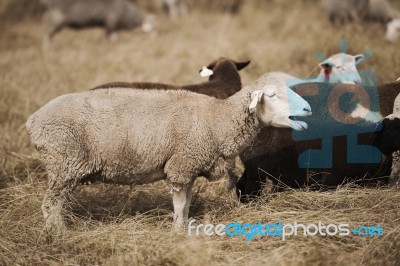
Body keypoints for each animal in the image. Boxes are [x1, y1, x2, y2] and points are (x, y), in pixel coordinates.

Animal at [25, 74, 312, 232]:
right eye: (272, 95)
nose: (308, 110)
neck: (216, 120)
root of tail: (33, 121)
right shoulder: (180, 165)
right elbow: (180, 205)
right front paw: (177, 233)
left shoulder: (189, 168)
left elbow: (186, 206)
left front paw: (182, 229)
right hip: (64, 163)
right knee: (50, 205)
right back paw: (59, 234)